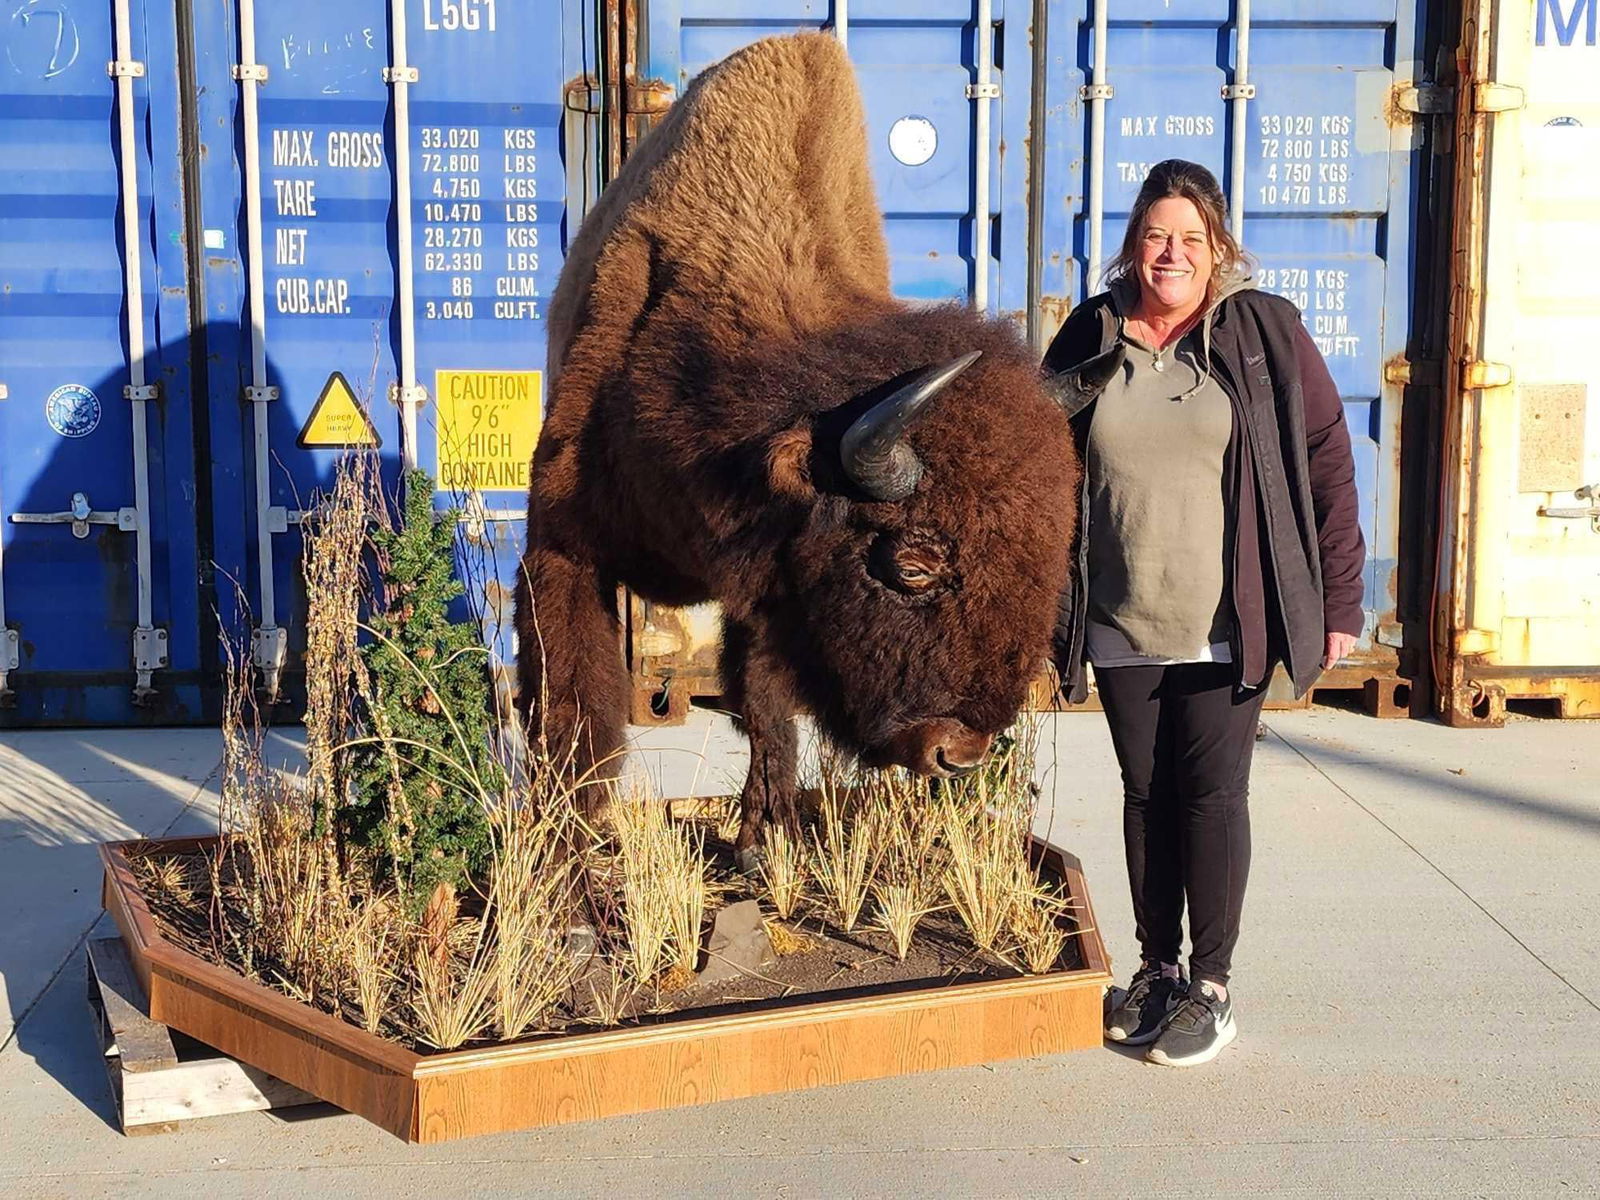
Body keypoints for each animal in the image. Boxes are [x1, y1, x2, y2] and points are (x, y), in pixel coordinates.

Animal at [516, 33, 1078, 866]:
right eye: (911, 566)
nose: (957, 755)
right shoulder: (564, 548)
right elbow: (576, 708)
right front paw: (571, 855)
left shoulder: (770, 595)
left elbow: (766, 703)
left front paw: (762, 838)